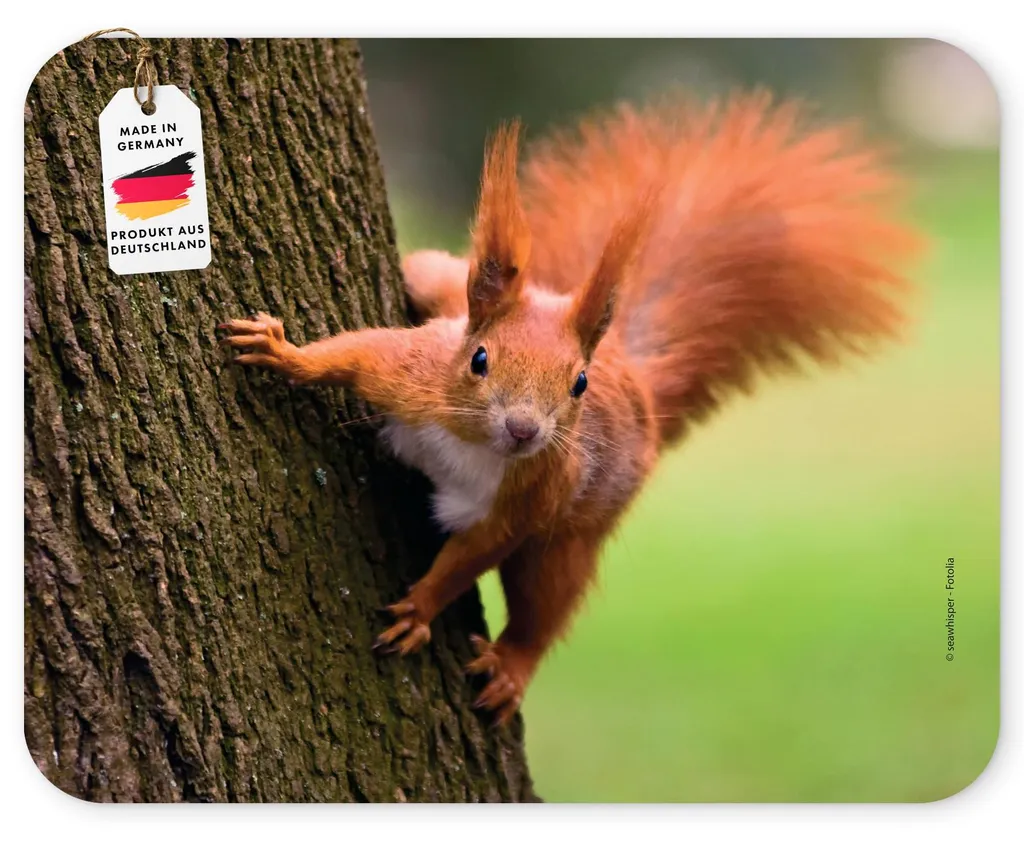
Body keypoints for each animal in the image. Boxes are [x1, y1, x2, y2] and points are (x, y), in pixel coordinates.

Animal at [220, 92, 917, 725]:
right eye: (479, 360)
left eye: (579, 384)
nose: (524, 430)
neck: (473, 444)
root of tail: (635, 379)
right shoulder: (411, 377)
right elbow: (354, 354)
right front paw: (282, 352)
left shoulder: (532, 497)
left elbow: (472, 555)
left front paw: (420, 610)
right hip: (442, 288)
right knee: (430, 274)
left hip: (572, 537)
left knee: (545, 604)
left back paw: (511, 666)